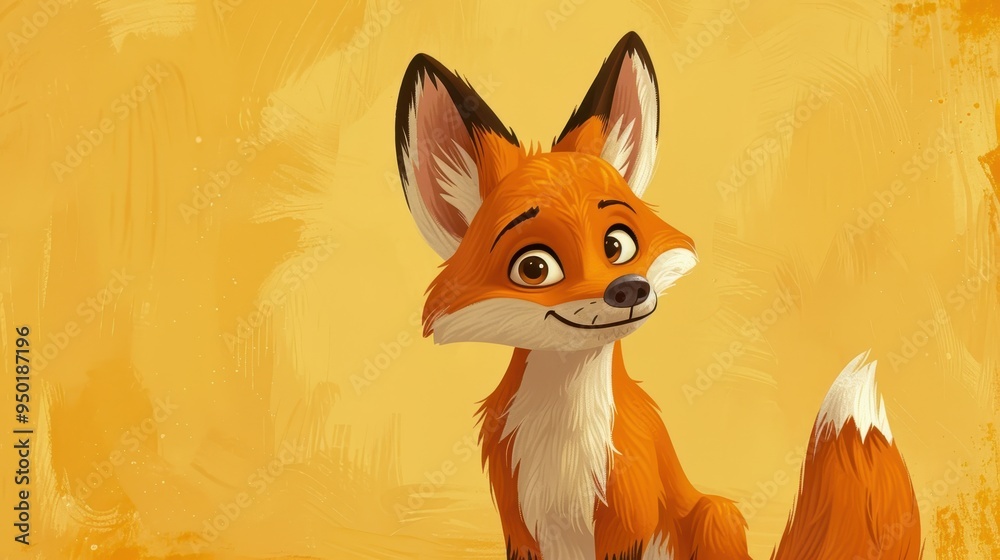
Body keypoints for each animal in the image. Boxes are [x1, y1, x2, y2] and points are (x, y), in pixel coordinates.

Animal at [394, 32, 922, 560]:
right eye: (534, 267)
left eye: (617, 245)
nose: (629, 288)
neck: (564, 438)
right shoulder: (521, 528)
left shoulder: (629, 518)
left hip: (714, 515)